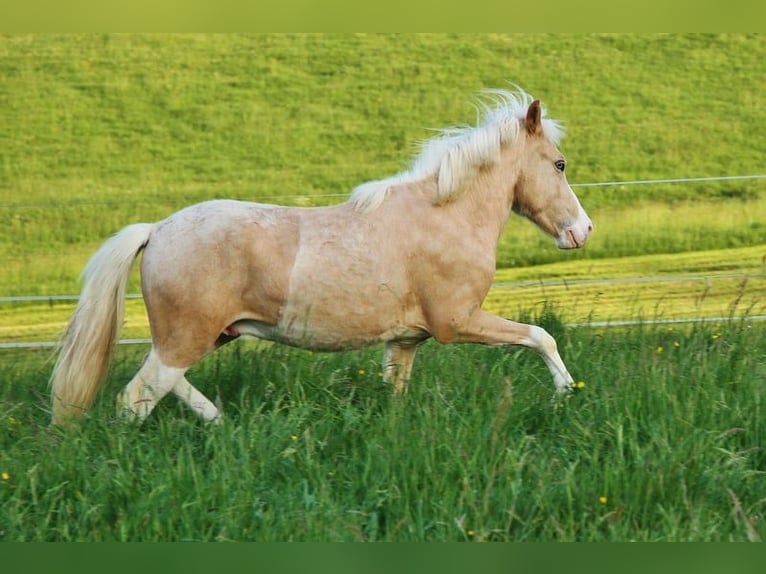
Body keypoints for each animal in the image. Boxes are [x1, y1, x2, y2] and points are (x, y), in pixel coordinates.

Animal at [51, 89, 596, 428]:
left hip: (201, 336)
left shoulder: (406, 340)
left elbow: (396, 391)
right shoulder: (458, 321)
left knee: (166, 384)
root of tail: (156, 230)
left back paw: (222, 423)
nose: (583, 231)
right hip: (186, 337)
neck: (444, 217)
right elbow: (541, 336)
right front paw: (566, 392)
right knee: (136, 398)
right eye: (559, 163)